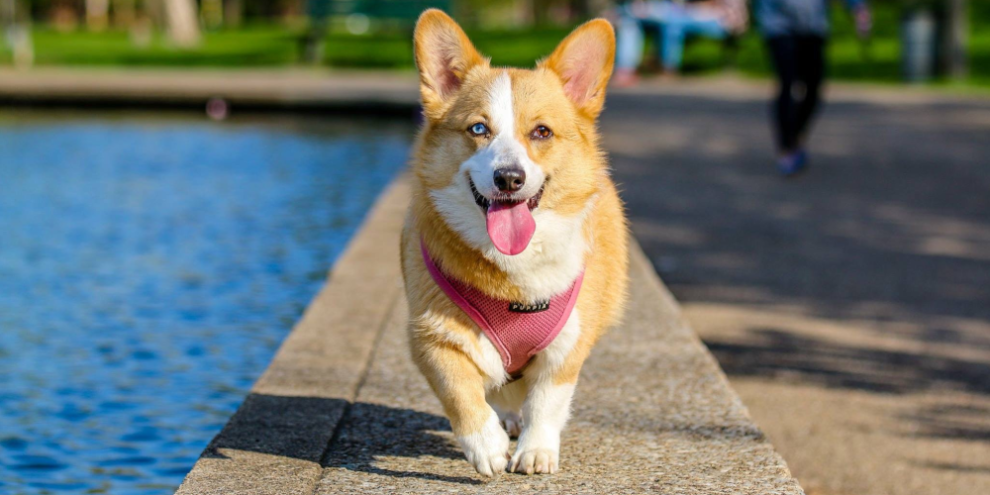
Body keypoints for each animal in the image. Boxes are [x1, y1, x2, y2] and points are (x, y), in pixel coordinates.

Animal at [402, 9, 628, 478]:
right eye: (478, 128)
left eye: (541, 132)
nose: (509, 178)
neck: (514, 272)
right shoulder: (431, 336)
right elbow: (460, 391)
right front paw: (485, 445)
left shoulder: (567, 346)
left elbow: (547, 401)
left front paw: (536, 451)